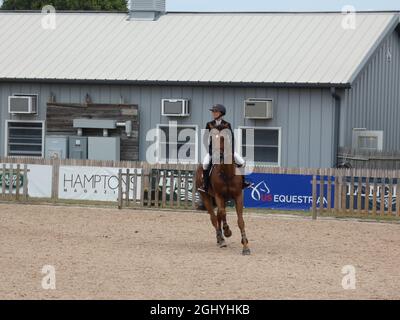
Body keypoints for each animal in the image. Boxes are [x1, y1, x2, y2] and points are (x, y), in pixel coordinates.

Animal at [196, 127, 250, 255]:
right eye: (212, 140)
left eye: (224, 139)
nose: (218, 156)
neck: (227, 173)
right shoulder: (219, 195)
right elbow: (222, 213)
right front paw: (227, 231)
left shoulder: (238, 196)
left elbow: (240, 221)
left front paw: (245, 246)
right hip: (206, 197)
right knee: (214, 218)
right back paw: (221, 239)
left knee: (218, 216)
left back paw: (221, 238)